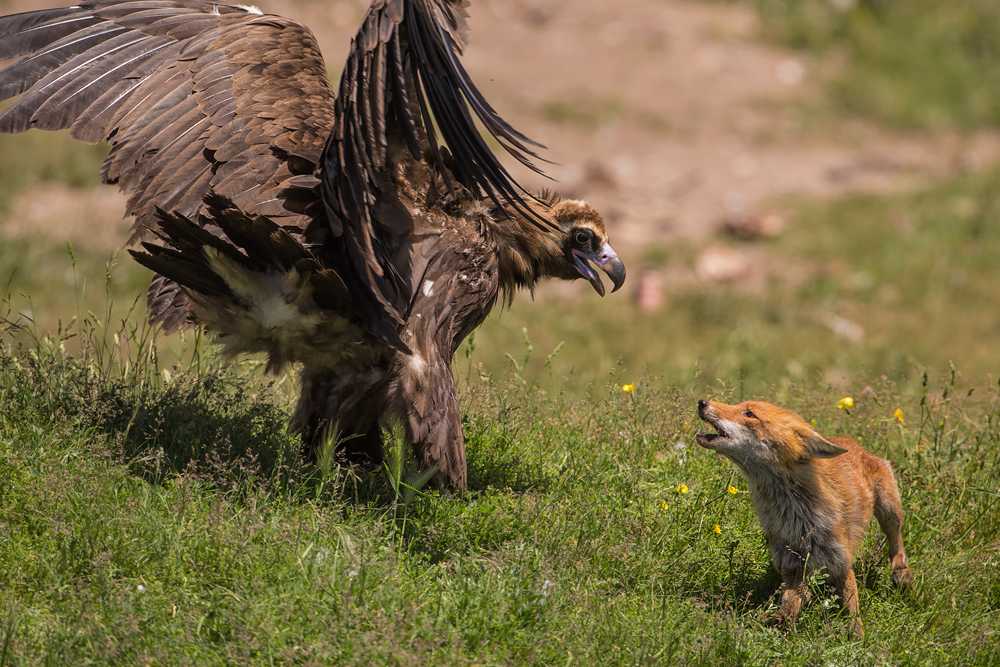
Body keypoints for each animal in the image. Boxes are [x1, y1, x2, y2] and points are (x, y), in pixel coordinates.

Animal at [696, 400, 916, 636]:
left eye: (749, 414)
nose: (702, 402)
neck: (799, 521)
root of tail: (852, 443)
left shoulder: (842, 564)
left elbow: (852, 610)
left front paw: (857, 637)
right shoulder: (793, 568)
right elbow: (789, 607)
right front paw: (778, 621)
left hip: (888, 506)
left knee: (895, 538)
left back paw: (901, 571)